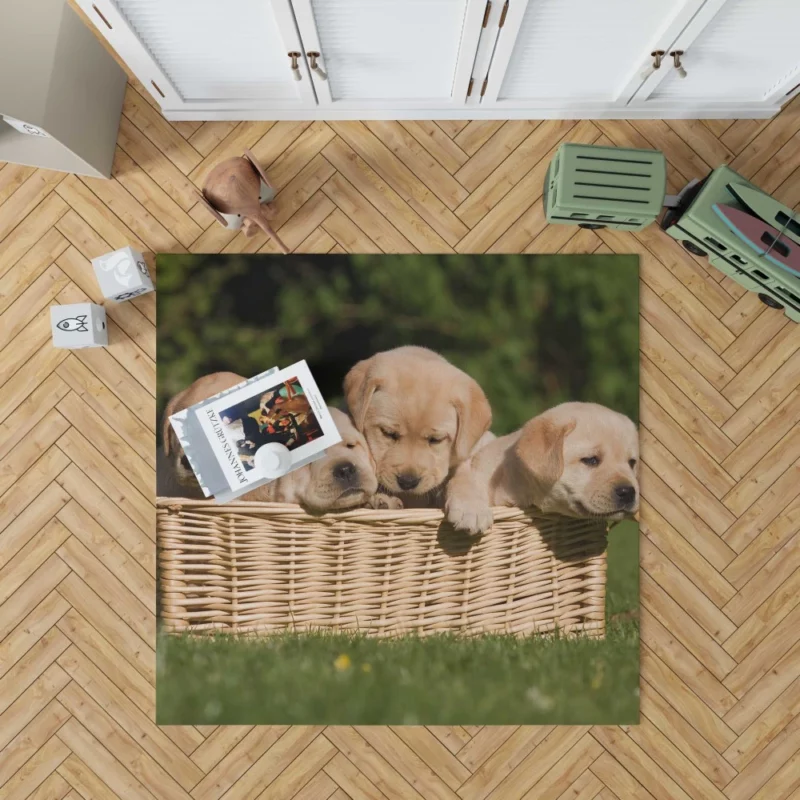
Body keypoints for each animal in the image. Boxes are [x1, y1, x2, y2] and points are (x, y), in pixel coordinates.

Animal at [344, 346, 494, 506]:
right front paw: (381, 500)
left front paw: (469, 504)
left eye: (435, 439)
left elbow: (462, 473)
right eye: (388, 433)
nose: (407, 482)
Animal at [444, 400, 636, 536]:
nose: (628, 492)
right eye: (591, 460)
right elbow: (462, 481)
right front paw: (471, 511)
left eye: (632, 463)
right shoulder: (475, 468)